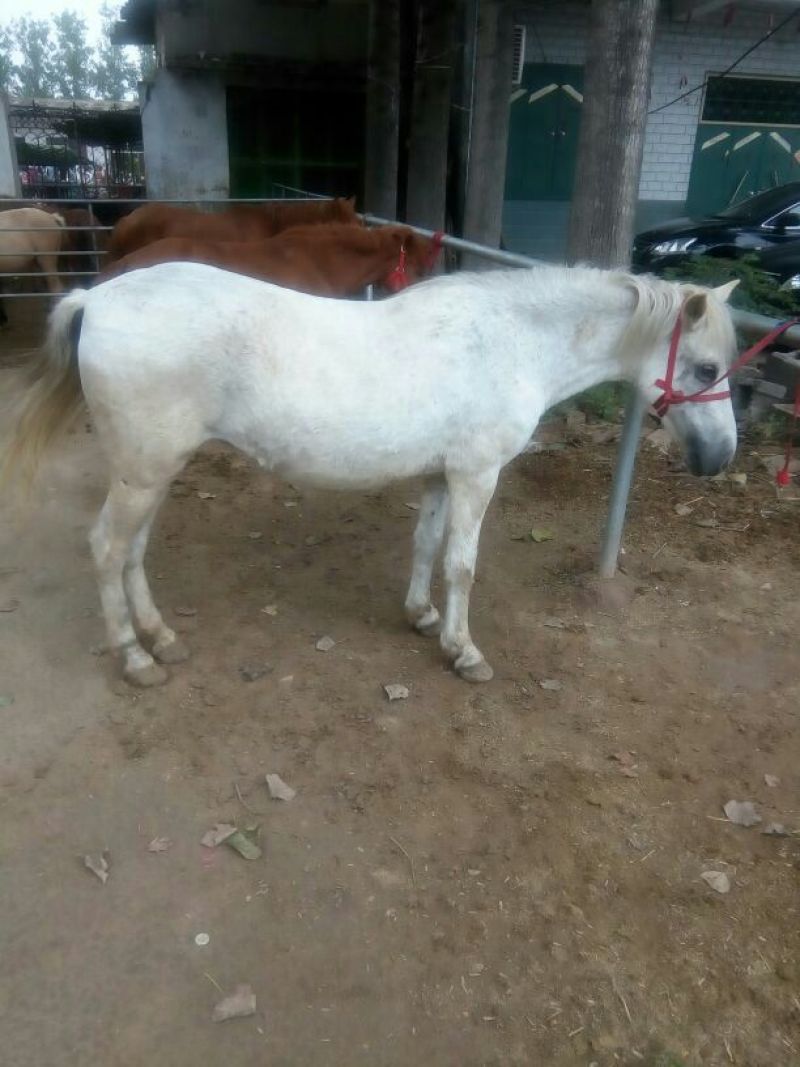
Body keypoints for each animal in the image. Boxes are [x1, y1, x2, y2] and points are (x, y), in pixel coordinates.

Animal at [0, 262, 739, 688]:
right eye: (706, 367)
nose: (721, 457)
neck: (512, 341)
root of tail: (96, 298)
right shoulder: (476, 475)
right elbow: (462, 565)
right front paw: (463, 651)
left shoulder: (442, 475)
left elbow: (426, 546)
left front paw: (421, 616)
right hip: (142, 472)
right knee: (107, 549)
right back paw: (134, 657)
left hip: (150, 470)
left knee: (131, 552)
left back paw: (161, 638)